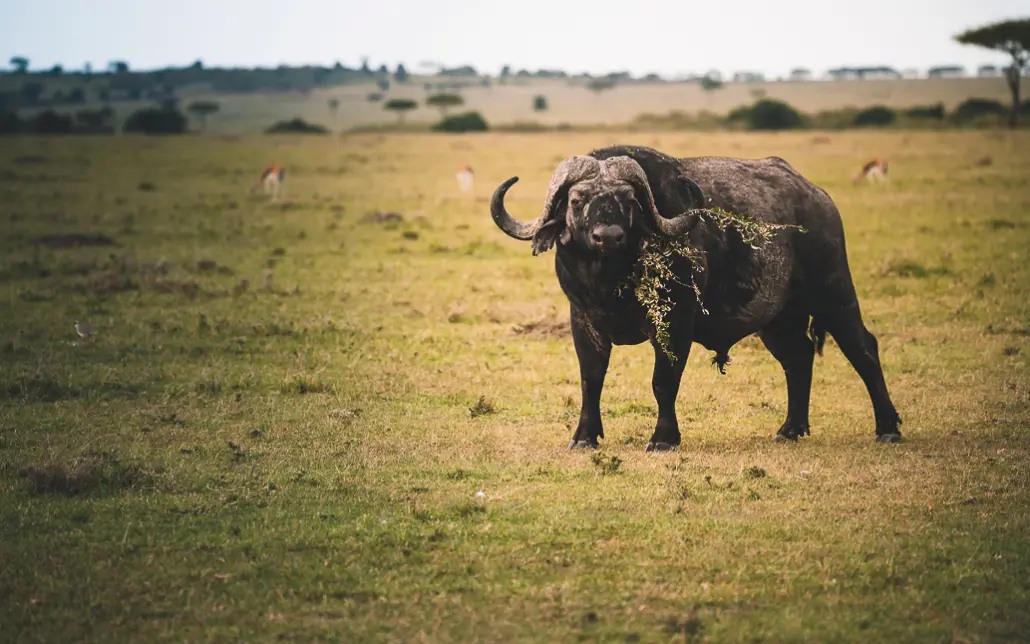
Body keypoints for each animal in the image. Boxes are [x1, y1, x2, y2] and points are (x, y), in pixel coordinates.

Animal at [490, 144, 902, 451]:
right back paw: (790, 429)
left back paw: (888, 427)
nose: (607, 235)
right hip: (777, 320)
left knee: (863, 348)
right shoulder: (584, 320)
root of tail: (819, 198)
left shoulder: (675, 322)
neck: (611, 281)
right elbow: (591, 379)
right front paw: (584, 437)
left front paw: (663, 439)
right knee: (798, 358)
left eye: (628, 200)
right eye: (577, 200)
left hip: (835, 294)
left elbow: (662, 381)